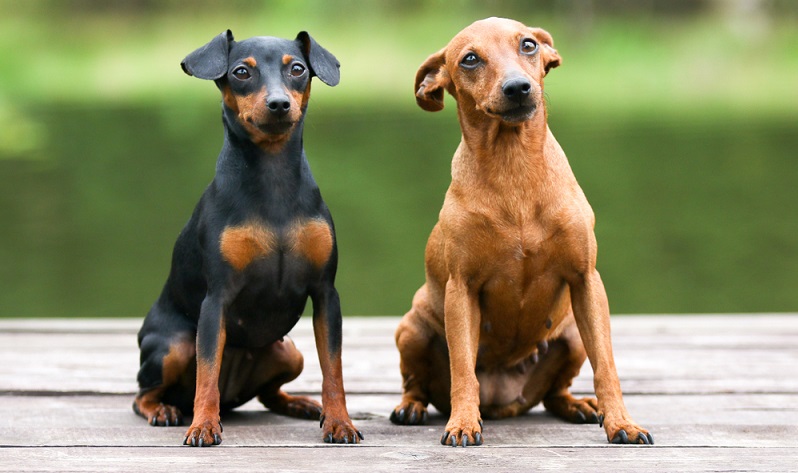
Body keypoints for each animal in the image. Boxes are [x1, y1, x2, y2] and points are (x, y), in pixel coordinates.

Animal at [134, 30, 362, 446]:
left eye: (297, 69)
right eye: (241, 72)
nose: (279, 103)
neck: (273, 179)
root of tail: (233, 395)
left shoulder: (326, 294)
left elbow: (333, 369)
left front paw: (340, 421)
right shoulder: (216, 300)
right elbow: (207, 373)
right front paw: (203, 425)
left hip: (288, 350)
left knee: (270, 394)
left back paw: (300, 404)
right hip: (173, 346)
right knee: (145, 393)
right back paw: (165, 410)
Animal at [390, 18, 652, 446]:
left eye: (528, 45)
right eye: (470, 59)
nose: (517, 87)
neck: (513, 166)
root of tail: (504, 401)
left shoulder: (586, 281)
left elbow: (607, 368)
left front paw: (622, 423)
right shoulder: (462, 290)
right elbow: (463, 371)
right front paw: (463, 422)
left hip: (572, 335)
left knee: (556, 392)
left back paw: (579, 406)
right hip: (411, 329)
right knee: (417, 384)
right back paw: (411, 407)